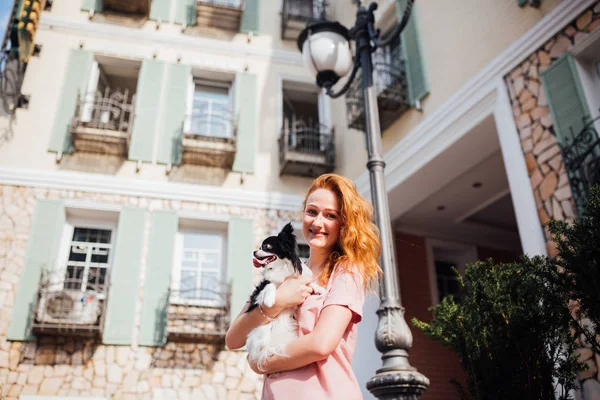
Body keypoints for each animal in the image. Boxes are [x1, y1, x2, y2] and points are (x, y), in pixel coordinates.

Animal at [246, 223, 326, 370]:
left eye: (266, 246)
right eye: (259, 247)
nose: (254, 252)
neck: (281, 268)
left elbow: (310, 283)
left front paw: (320, 289)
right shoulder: (261, 290)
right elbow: (270, 285)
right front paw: (269, 300)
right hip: (263, 331)